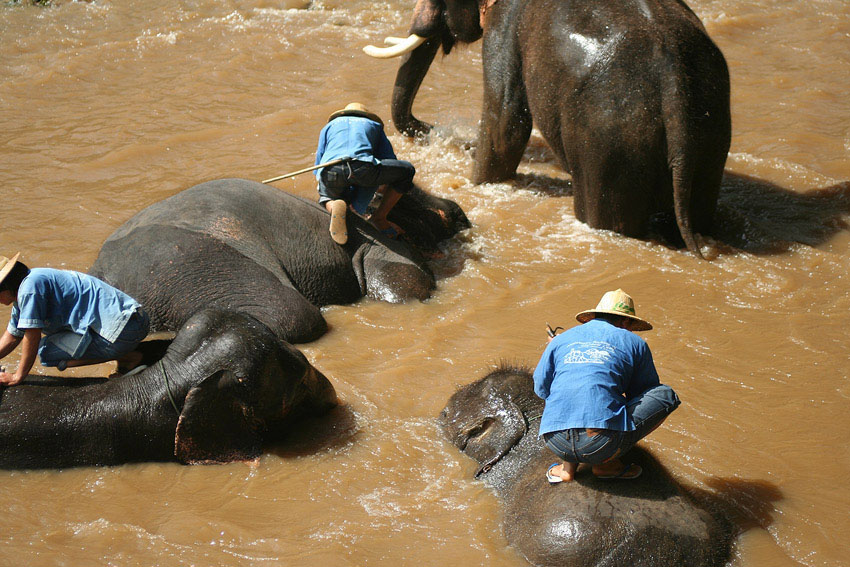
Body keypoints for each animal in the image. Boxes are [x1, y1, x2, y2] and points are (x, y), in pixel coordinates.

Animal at [91, 180, 470, 344]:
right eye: (414, 199)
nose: (459, 214)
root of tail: (101, 274)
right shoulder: (376, 243)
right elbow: (408, 283)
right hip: (186, 263)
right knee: (293, 316)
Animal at [364, 0, 728, 255]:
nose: (430, 127)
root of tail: (673, 83)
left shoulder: (505, 27)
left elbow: (505, 124)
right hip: (706, 137)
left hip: (610, 141)